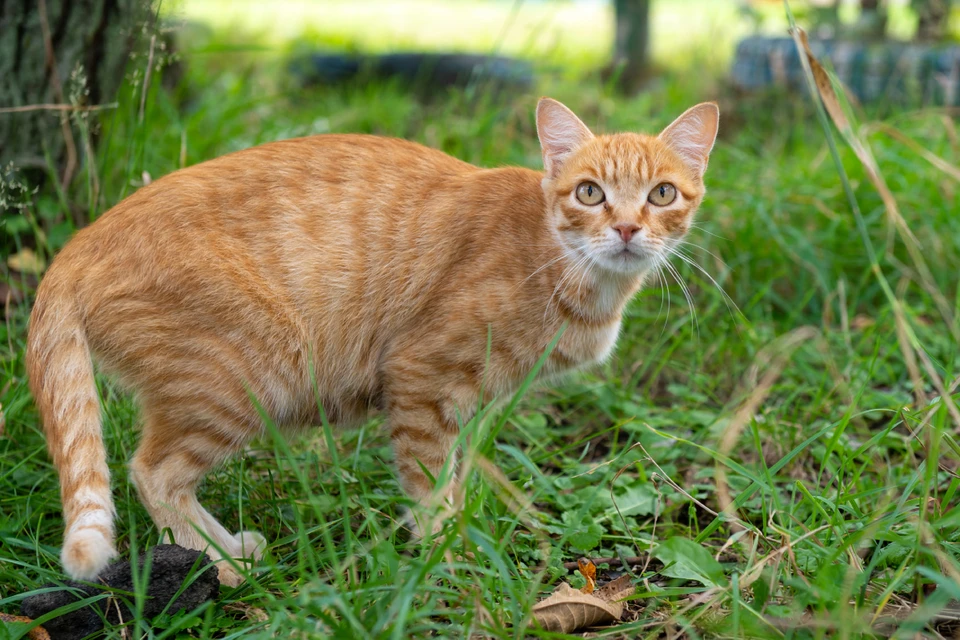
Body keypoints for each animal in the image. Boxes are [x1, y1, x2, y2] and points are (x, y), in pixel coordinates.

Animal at [26, 96, 716, 584]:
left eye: (661, 194)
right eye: (590, 193)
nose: (626, 228)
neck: (562, 265)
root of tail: (78, 243)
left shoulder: (463, 405)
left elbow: (453, 481)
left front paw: (456, 537)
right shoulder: (420, 378)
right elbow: (429, 485)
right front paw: (447, 560)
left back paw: (233, 551)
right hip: (248, 375)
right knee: (153, 473)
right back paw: (222, 567)